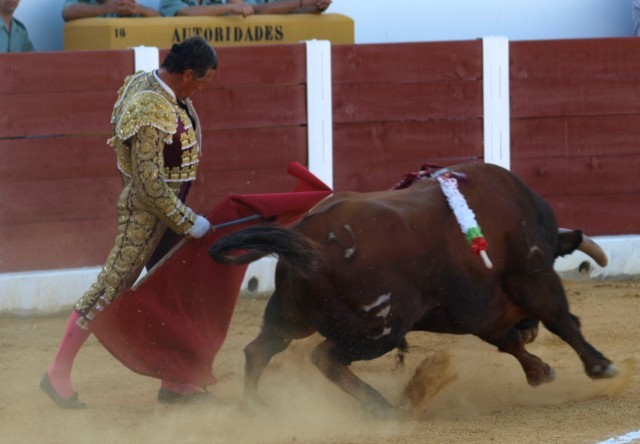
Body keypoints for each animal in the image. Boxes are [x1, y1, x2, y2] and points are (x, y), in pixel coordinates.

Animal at [209, 161, 616, 418]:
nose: (530, 329)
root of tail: (306, 235)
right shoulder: (533, 278)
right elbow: (562, 319)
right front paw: (600, 365)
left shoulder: (480, 311)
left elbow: (509, 342)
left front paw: (539, 371)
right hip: (378, 331)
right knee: (325, 358)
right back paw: (383, 408)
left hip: (291, 317)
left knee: (259, 349)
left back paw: (256, 407)